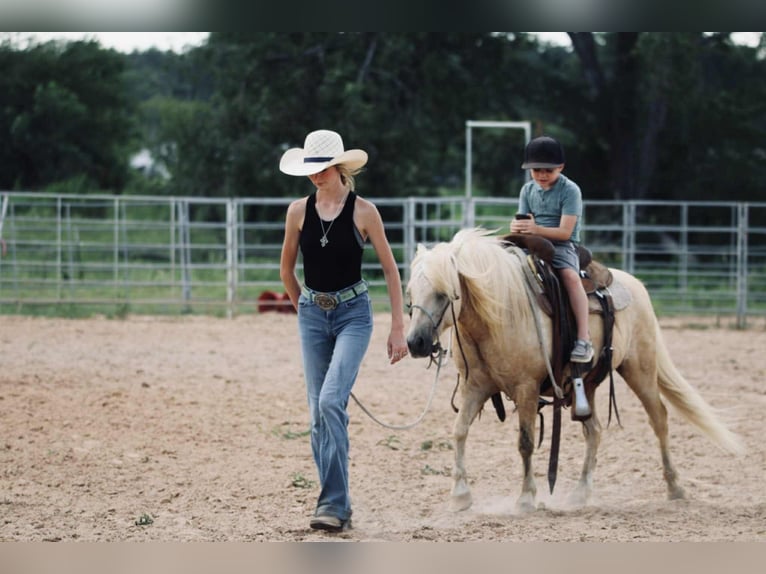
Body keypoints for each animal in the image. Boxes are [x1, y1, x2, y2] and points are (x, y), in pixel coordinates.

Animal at [405, 228, 743, 513]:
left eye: (443, 293)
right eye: (410, 293)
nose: (415, 342)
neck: (499, 314)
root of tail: (635, 285)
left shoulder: (526, 389)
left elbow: (525, 442)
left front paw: (526, 498)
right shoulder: (474, 387)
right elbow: (459, 431)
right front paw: (461, 496)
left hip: (640, 369)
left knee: (658, 418)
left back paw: (675, 487)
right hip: (588, 384)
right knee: (594, 431)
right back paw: (581, 492)